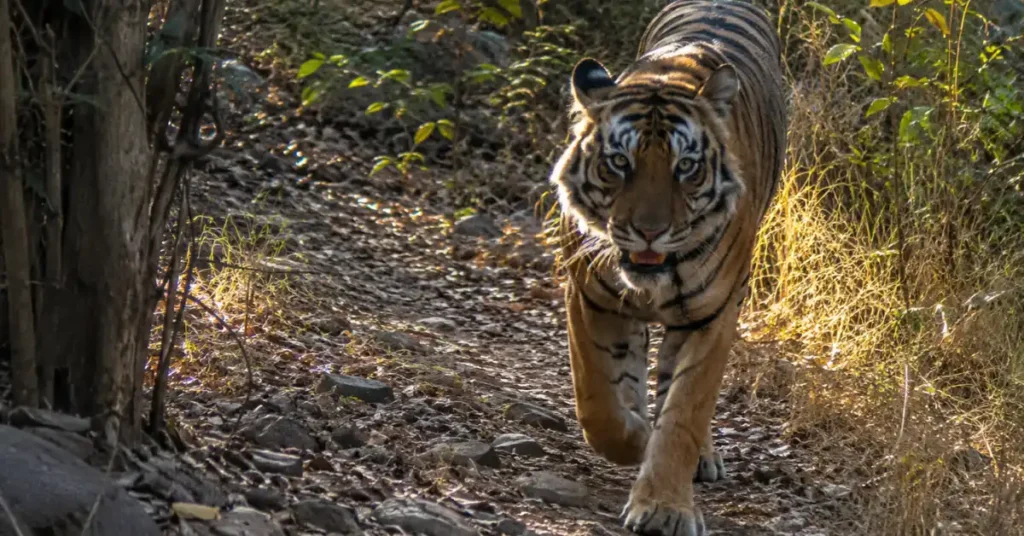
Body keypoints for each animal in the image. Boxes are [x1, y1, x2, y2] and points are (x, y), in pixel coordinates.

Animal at [547, 1, 787, 534]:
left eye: (686, 168)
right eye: (619, 162)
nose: (649, 231)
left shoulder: (712, 316)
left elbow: (684, 415)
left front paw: (664, 508)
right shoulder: (589, 296)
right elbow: (598, 401)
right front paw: (636, 438)